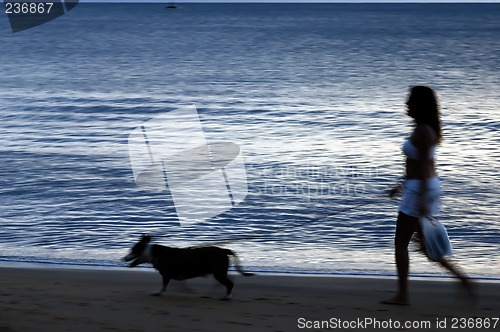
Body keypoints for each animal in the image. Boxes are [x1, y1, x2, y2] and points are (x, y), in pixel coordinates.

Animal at [121, 233, 254, 298]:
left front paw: (158, 293)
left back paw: (227, 296)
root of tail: (224, 250)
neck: (152, 253)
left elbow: (164, 286)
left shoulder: (166, 274)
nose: (123, 259)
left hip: (218, 272)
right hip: (219, 271)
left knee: (229, 283)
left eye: (132, 250)